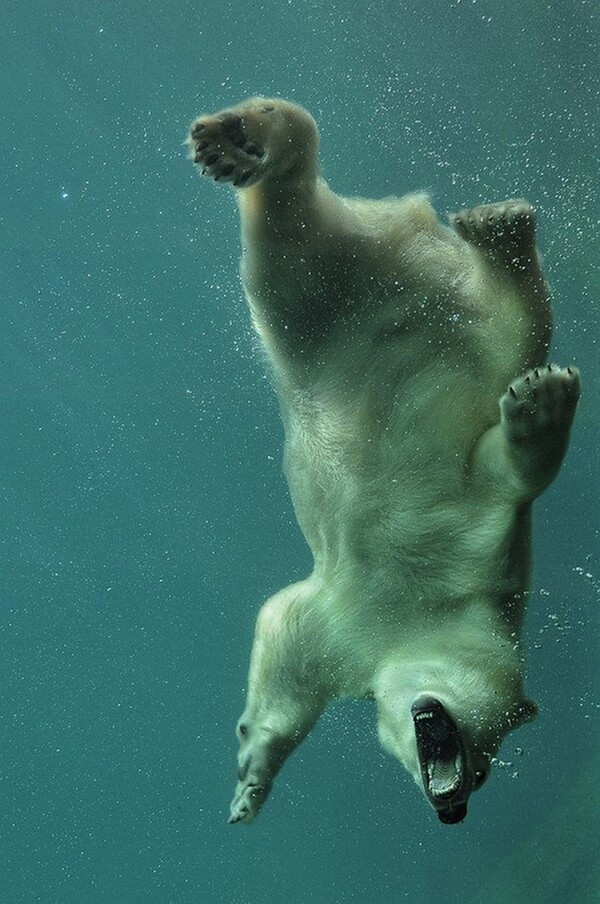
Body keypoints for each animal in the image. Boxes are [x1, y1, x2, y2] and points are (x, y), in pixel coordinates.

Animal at [188, 99, 580, 828]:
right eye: (484, 764)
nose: (453, 808)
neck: (427, 607)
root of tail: (406, 234)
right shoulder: (473, 539)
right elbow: (510, 469)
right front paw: (545, 400)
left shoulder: (350, 623)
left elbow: (283, 640)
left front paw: (249, 778)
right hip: (341, 305)